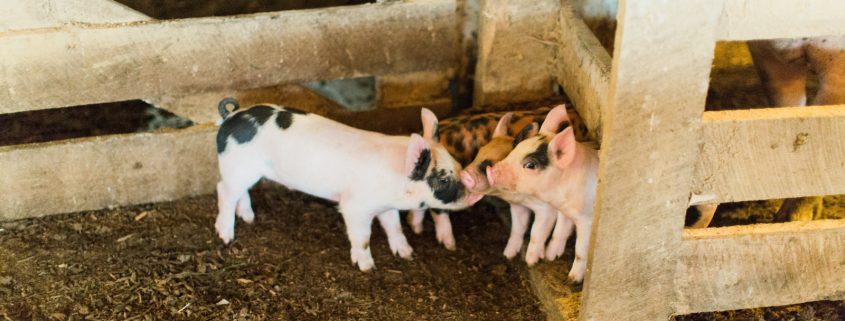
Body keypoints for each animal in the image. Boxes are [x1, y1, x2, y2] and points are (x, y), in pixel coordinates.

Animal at [211, 97, 482, 270]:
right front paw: (368, 268)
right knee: (223, 191)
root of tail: (231, 116)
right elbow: (362, 237)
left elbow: (394, 227)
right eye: (443, 179)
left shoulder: (386, 206)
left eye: (459, 164)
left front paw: (407, 255)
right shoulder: (355, 207)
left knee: (241, 192)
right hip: (237, 167)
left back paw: (249, 219)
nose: (475, 192)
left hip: (246, 171)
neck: (395, 185)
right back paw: (226, 237)